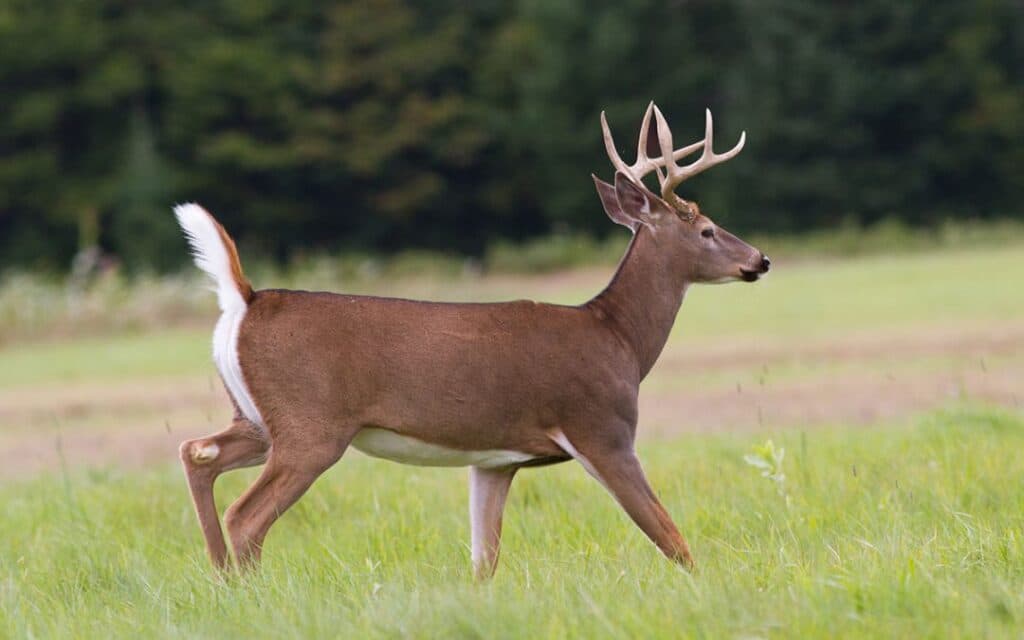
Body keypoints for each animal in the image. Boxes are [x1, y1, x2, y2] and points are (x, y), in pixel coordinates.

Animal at [175, 102, 770, 579]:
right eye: (706, 229)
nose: (759, 259)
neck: (618, 338)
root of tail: (245, 300)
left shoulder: (494, 461)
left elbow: (484, 560)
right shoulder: (602, 430)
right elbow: (672, 540)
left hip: (258, 420)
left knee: (197, 453)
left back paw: (222, 583)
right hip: (310, 426)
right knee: (245, 514)